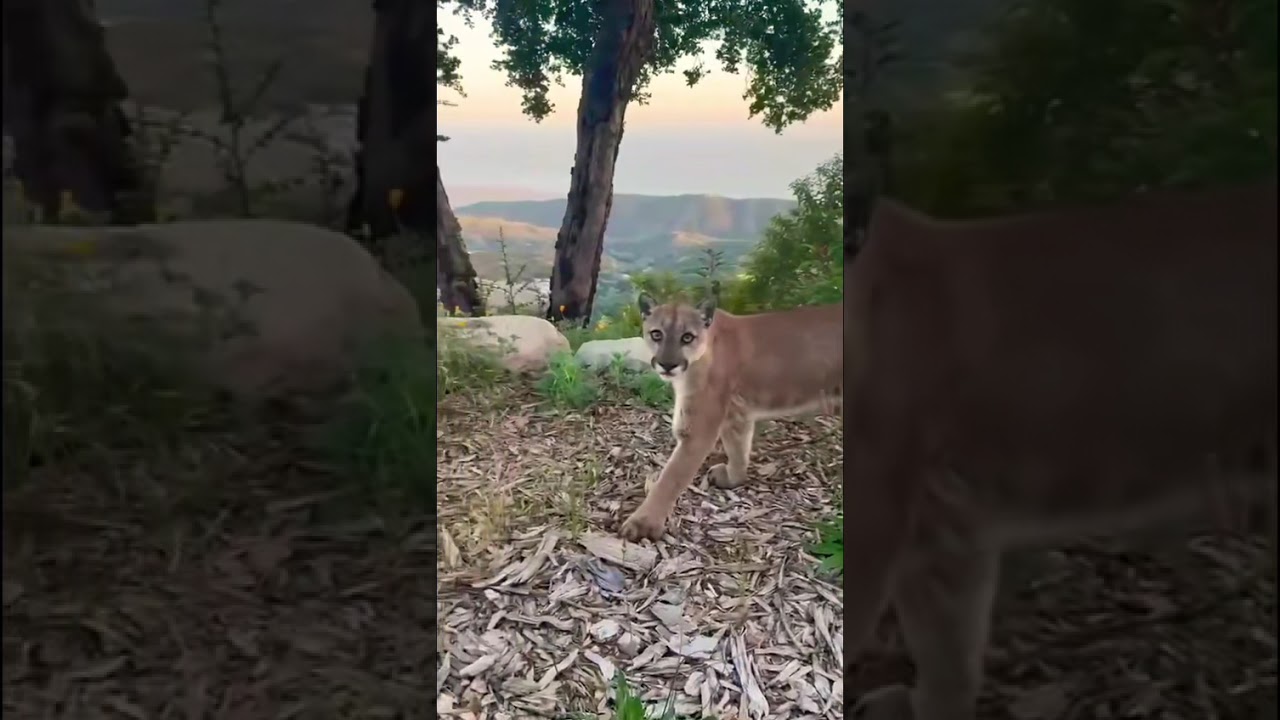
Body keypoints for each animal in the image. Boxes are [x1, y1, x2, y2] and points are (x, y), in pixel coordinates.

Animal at [618, 293, 842, 542]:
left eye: (687, 337)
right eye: (657, 334)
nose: (668, 364)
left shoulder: (698, 430)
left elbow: (670, 479)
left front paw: (643, 524)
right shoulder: (737, 413)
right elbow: (738, 449)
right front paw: (733, 478)